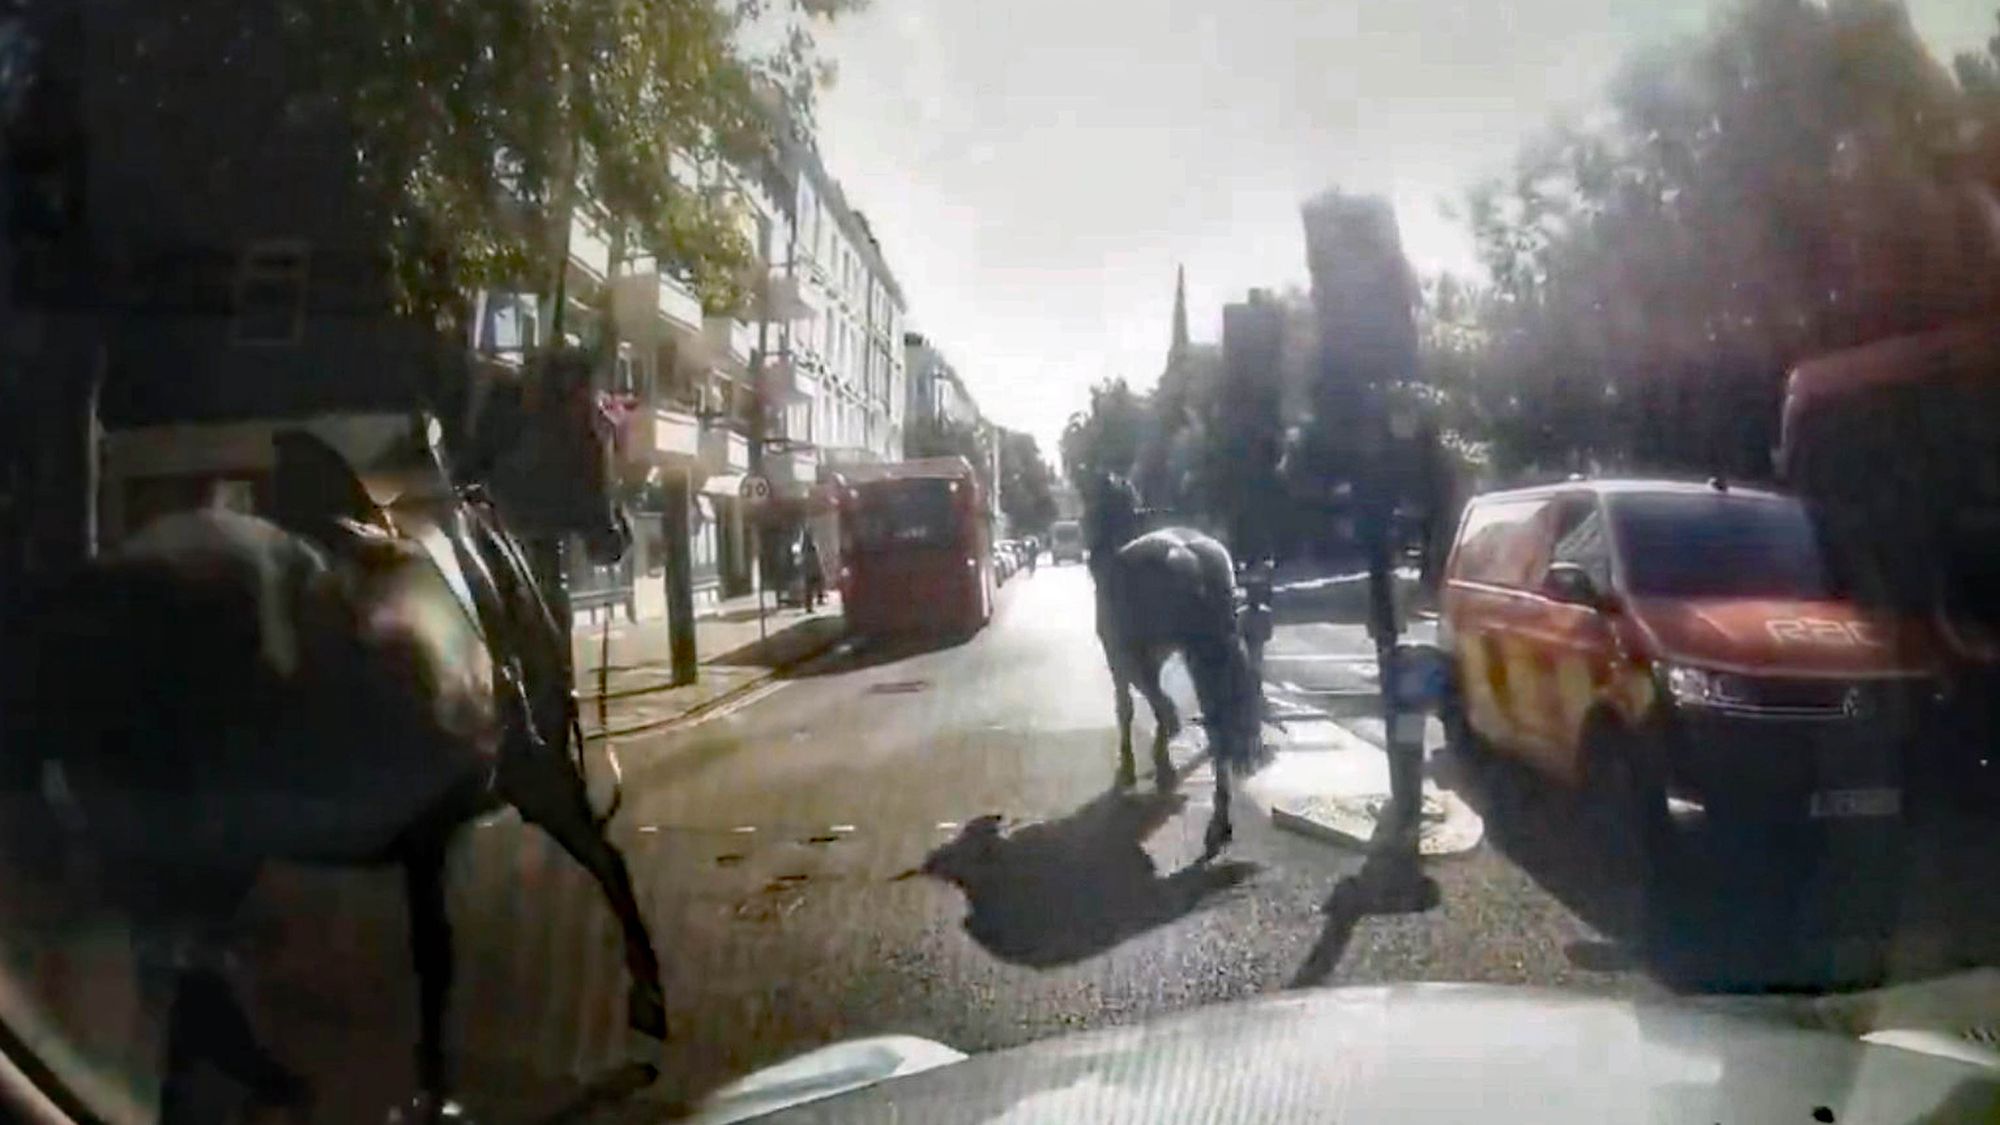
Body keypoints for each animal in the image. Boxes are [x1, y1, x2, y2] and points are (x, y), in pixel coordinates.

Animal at [3, 350, 668, 1112]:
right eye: (594, 430)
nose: (618, 532)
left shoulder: (430, 831)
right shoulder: (529, 782)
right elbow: (589, 869)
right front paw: (645, 999)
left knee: (187, 979)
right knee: (184, 974)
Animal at [1088, 470, 1256, 848]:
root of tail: (1194, 557)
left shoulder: (1120, 655)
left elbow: (1131, 707)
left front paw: (1135, 766)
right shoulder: (1153, 657)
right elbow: (1156, 703)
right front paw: (1163, 759)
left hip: (1188, 653)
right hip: (1210, 650)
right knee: (1219, 720)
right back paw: (1220, 815)